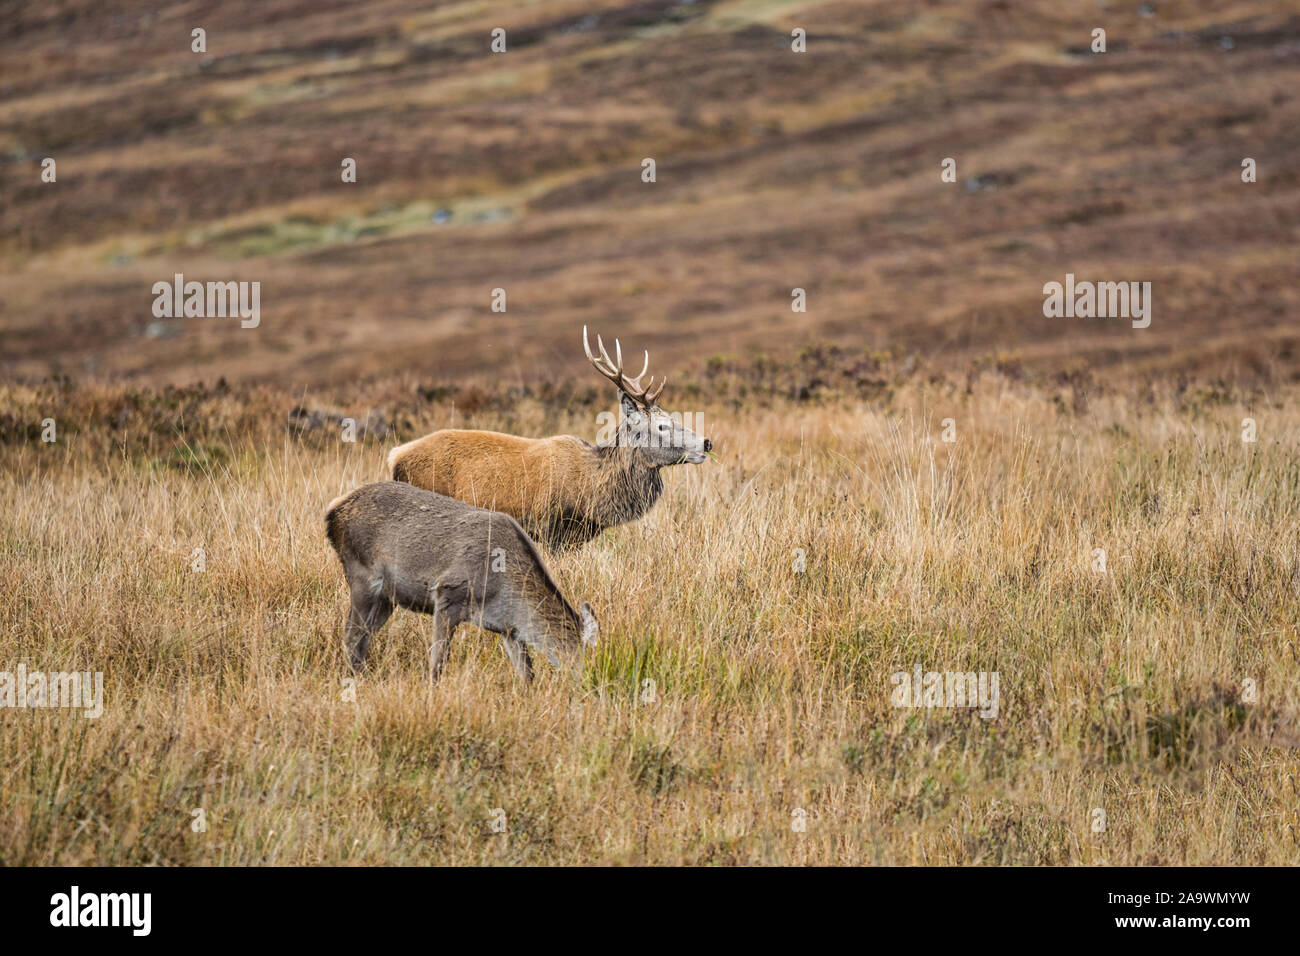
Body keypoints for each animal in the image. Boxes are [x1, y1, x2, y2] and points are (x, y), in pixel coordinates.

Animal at [325, 481, 599, 682]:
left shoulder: (509, 629)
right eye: (589, 656)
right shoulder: (447, 594)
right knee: (351, 635)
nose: (592, 681)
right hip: (361, 577)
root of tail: (332, 512)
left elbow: (527, 674)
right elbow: (438, 662)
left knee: (363, 638)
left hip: (387, 598)